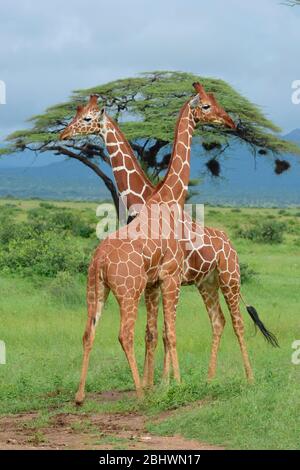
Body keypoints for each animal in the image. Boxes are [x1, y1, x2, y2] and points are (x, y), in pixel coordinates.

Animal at [61, 83, 278, 390]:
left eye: (87, 117)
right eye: (208, 105)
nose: (230, 121)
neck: (152, 198)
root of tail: (229, 243)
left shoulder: (165, 278)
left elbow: (162, 332)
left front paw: (164, 383)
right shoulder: (161, 280)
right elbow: (155, 332)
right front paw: (159, 383)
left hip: (229, 277)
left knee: (236, 322)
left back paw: (246, 379)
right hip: (206, 283)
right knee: (218, 321)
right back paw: (210, 379)